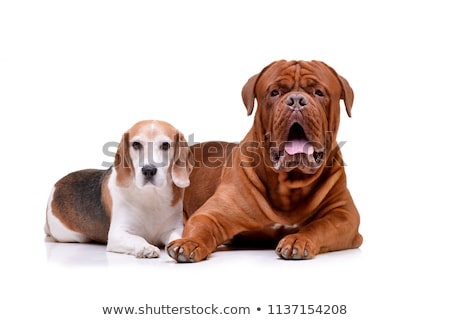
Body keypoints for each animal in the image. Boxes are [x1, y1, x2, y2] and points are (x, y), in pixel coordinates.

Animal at [169, 60, 362, 262]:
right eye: (274, 92)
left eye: (319, 92)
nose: (296, 100)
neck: (290, 185)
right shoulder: (213, 213)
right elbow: (202, 226)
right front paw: (189, 242)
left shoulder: (343, 214)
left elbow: (317, 226)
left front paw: (298, 240)